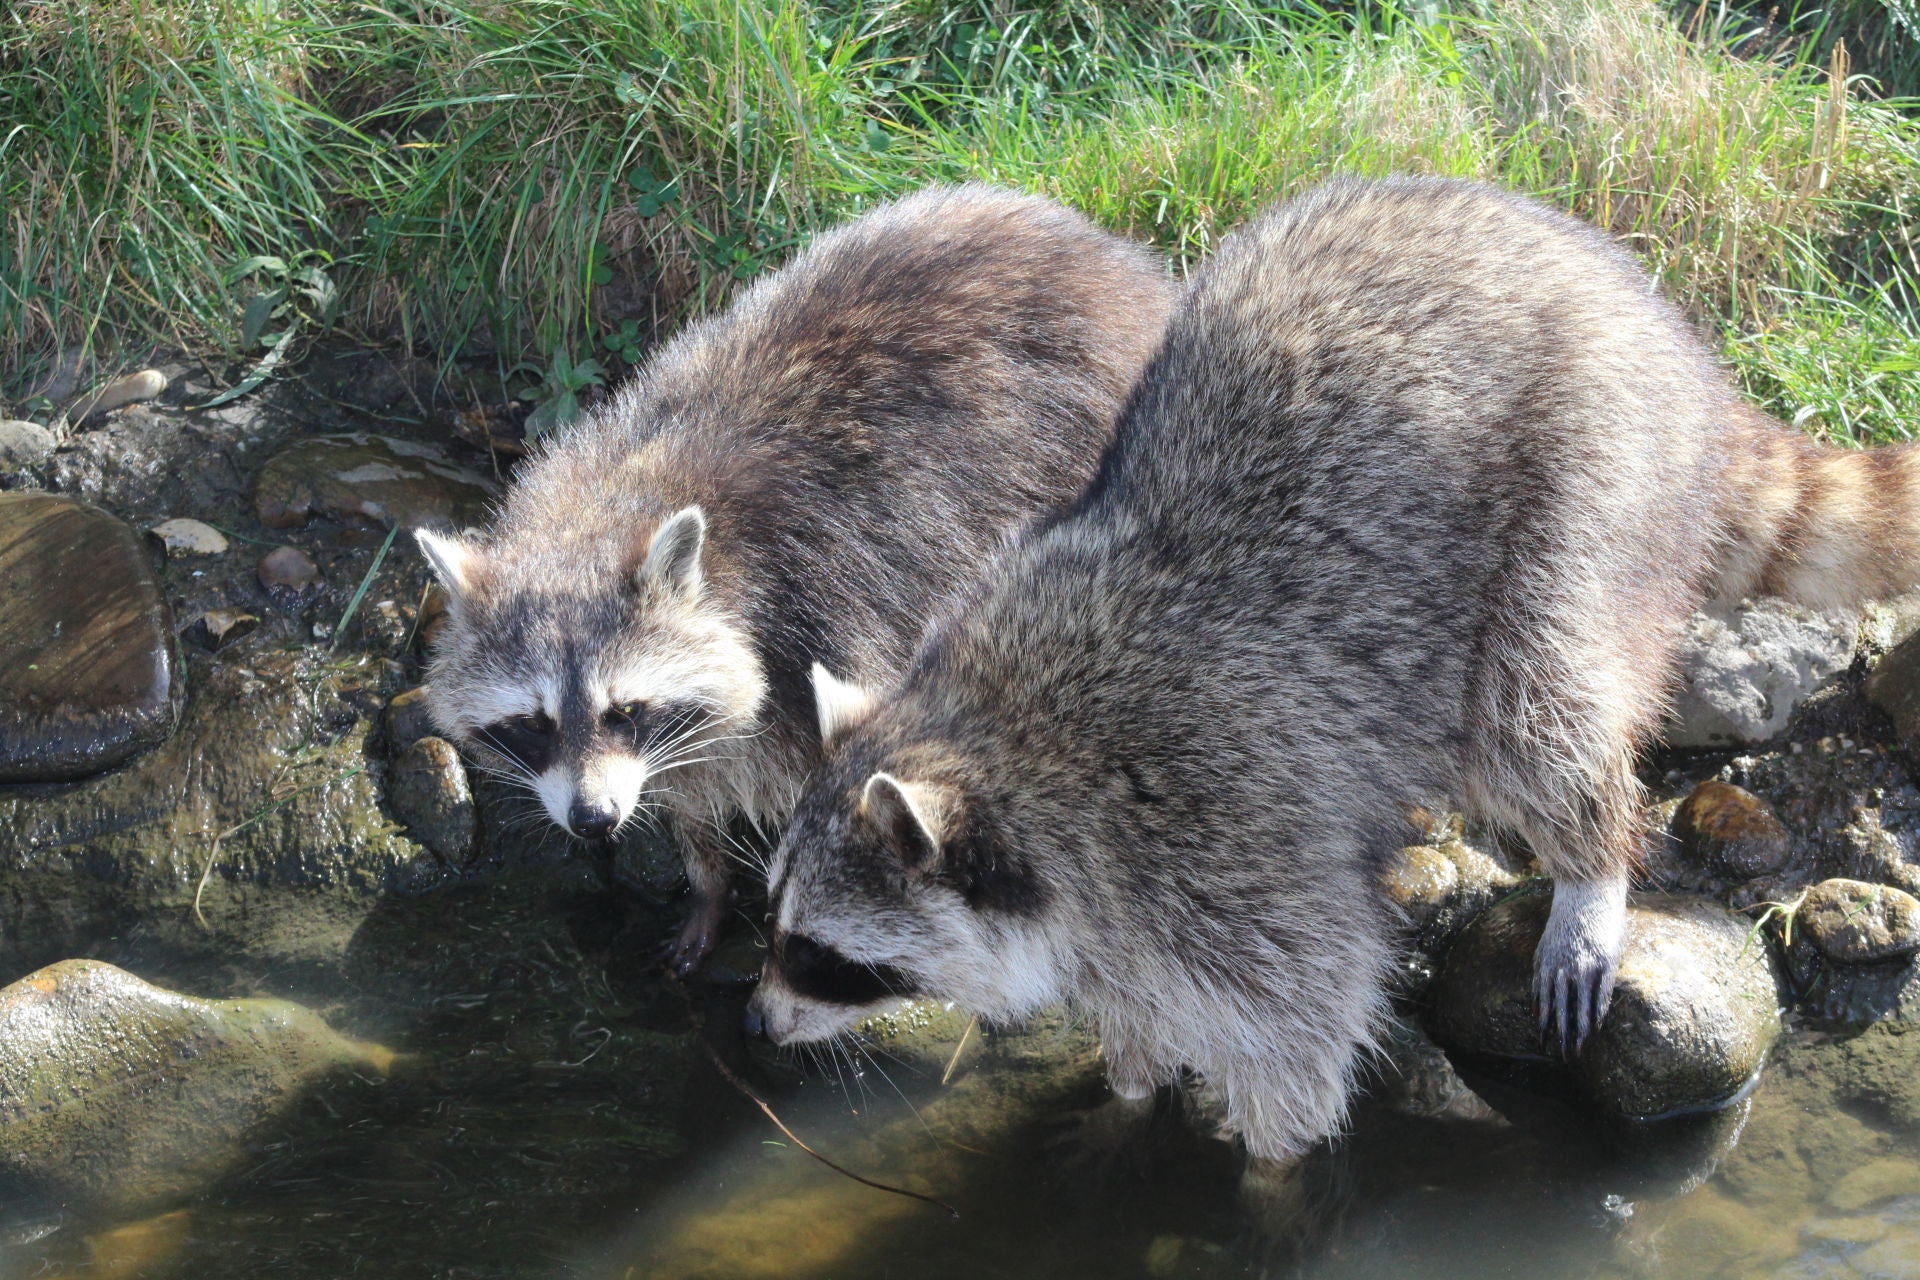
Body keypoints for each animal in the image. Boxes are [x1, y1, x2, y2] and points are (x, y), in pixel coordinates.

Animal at [414, 185, 1177, 973]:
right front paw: (707, 882)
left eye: (622, 711)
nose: (593, 820)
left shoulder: (825, 621)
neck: (615, 507)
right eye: (533, 723)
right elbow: (692, 783)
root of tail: (1112, 254)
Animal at [746, 175, 1920, 1160]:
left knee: (1536, 702)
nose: (755, 1017)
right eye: (775, 922)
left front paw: (1264, 1177)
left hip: (1593, 465)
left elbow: (1300, 1035)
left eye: (820, 952)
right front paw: (1126, 1098)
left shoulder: (1224, 836)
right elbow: (1134, 1001)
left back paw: (1590, 865)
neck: (995, 732)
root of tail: (1637, 303)